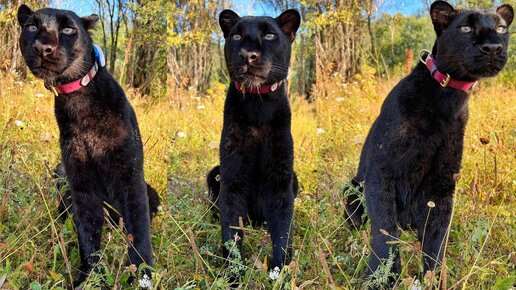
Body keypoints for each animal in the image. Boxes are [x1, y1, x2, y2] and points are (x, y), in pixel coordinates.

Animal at [17, 5, 159, 288]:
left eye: (68, 29)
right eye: (31, 27)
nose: (42, 47)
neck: (78, 101)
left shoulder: (130, 177)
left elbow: (139, 231)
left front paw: (142, 276)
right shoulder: (81, 184)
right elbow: (88, 236)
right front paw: (89, 278)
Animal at [207, 9, 300, 276]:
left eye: (269, 35)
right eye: (237, 36)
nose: (248, 54)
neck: (258, 105)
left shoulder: (281, 180)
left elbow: (283, 233)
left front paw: (279, 273)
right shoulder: (232, 177)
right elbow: (231, 233)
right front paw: (234, 275)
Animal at [342, 0, 512, 286]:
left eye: (501, 27)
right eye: (465, 28)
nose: (492, 47)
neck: (446, 98)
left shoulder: (442, 186)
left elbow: (436, 242)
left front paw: (435, 280)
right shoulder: (381, 173)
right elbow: (385, 229)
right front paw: (382, 277)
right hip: (351, 186)